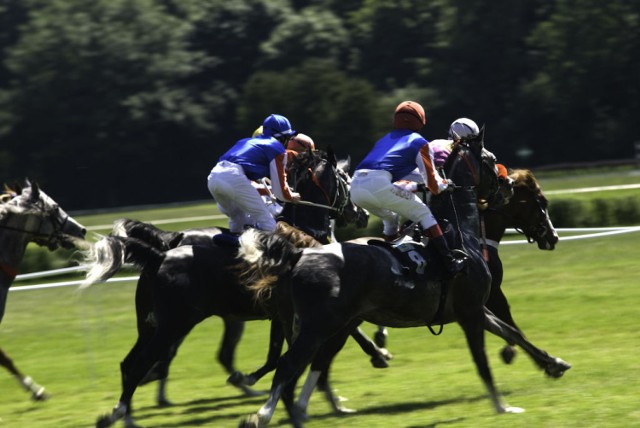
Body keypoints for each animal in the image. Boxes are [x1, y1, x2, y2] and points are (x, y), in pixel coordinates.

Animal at [79, 148, 384, 428]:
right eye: (345, 179)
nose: (361, 214)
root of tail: (162, 252)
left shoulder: (285, 315)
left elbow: (285, 356)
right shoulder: (306, 312)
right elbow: (310, 350)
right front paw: (377, 354)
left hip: (155, 323)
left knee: (133, 362)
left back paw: (132, 413)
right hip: (178, 322)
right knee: (154, 360)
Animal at [235, 139, 568, 426]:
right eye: (539, 201)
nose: (553, 236)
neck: (464, 234)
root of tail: (298, 255)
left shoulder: (475, 309)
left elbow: (512, 332)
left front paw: (553, 363)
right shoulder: (471, 312)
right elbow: (483, 359)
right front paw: (502, 405)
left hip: (327, 325)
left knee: (308, 366)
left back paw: (300, 408)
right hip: (318, 326)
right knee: (289, 366)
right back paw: (261, 414)